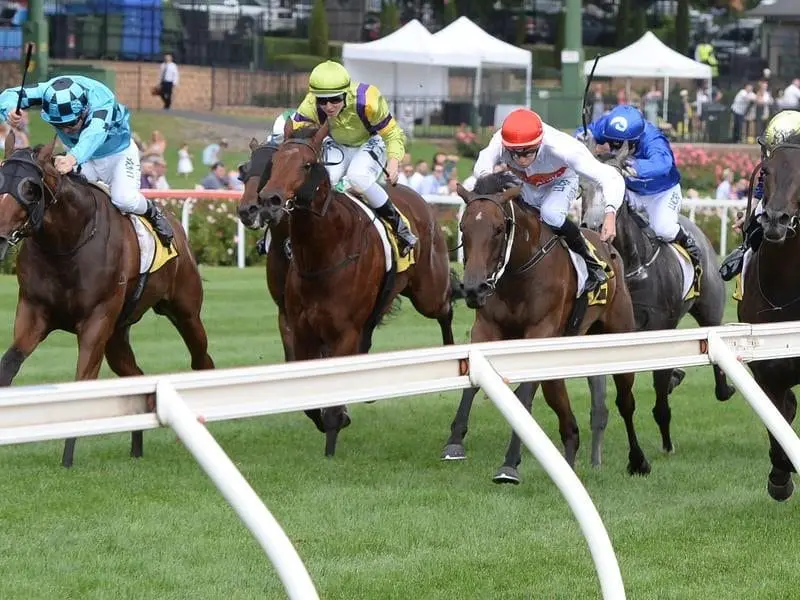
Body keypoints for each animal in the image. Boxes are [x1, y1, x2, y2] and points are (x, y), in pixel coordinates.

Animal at [0, 131, 214, 468]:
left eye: (29, 188)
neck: (68, 243)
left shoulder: (96, 321)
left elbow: (82, 383)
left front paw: (67, 459)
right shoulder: (33, 311)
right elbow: (8, 365)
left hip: (185, 312)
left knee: (201, 359)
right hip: (117, 335)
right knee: (137, 378)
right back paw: (137, 447)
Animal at [239, 124, 456, 458]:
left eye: (306, 165)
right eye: (247, 170)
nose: (261, 204)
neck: (322, 252)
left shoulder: (343, 330)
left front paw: (333, 435)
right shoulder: (295, 323)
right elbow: (307, 389)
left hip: (428, 292)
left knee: (446, 307)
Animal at [444, 173, 648, 482]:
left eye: (498, 229)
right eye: (463, 228)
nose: (473, 288)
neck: (518, 273)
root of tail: (609, 248)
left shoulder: (540, 332)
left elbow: (524, 395)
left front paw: (509, 464)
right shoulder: (487, 328)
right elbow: (473, 383)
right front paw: (454, 442)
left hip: (619, 337)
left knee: (625, 402)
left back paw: (638, 460)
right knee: (567, 419)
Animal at [580, 145, 736, 454]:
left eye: (616, 185)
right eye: (581, 187)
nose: (592, 226)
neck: (632, 266)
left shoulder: (661, 326)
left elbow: (661, 388)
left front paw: (666, 441)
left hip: (710, 309)